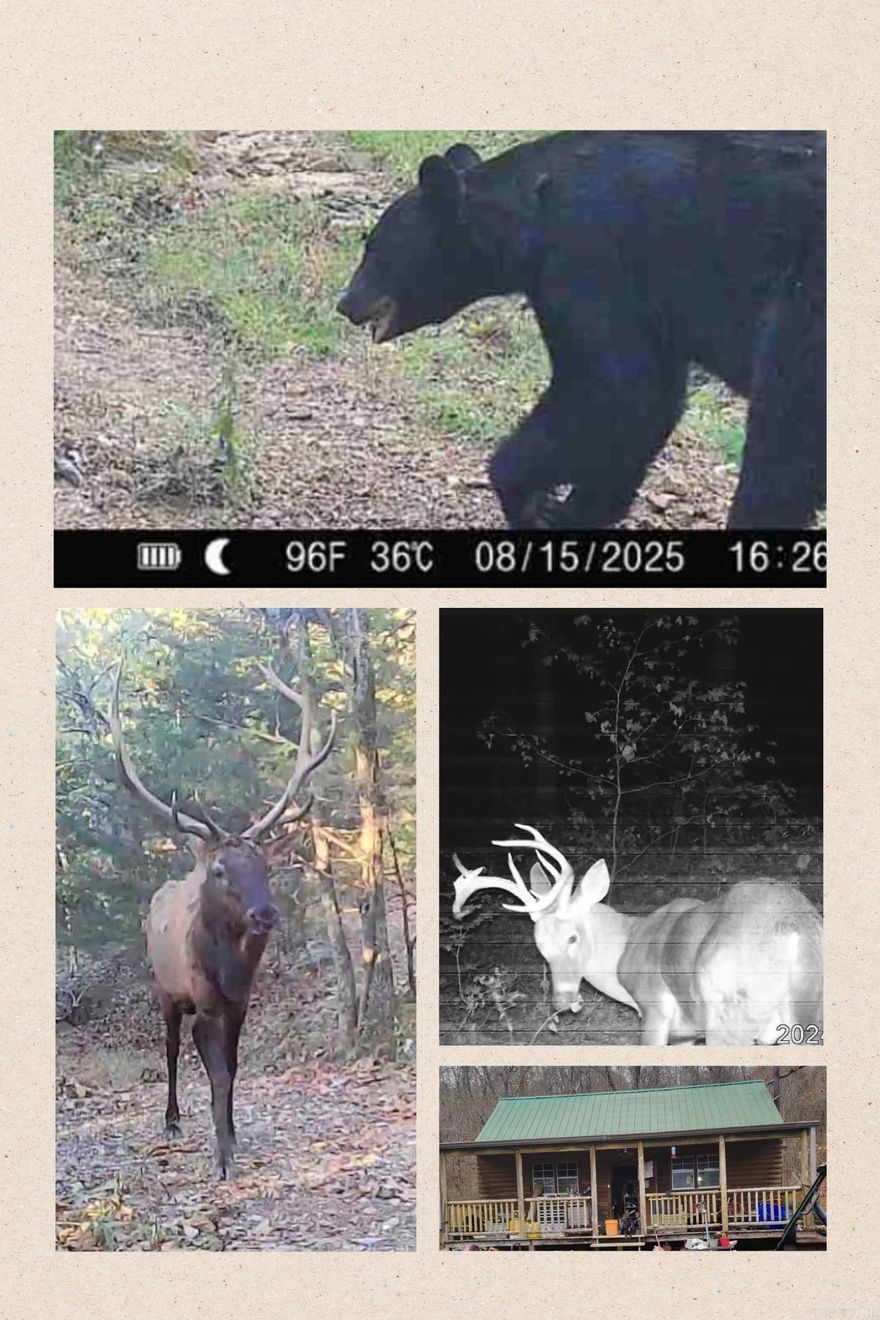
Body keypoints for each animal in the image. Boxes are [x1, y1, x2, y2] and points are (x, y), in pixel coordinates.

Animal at [108, 662, 336, 1178]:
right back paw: (172, 1120)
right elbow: (215, 1074)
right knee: (170, 1047)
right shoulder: (206, 1003)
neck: (231, 971)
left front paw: (231, 1135)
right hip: (164, 989)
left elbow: (232, 1069)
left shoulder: (240, 1004)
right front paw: (223, 1157)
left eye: (265, 866)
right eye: (220, 870)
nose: (264, 912)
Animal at [337, 132, 826, 530]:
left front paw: (529, 499)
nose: (345, 303)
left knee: (782, 427)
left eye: (373, 246)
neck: (532, 213)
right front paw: (578, 509)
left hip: (804, 305)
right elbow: (648, 402)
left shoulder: (586, 260)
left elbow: (613, 387)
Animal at [452, 824, 822, 1045]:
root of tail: (797, 930)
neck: (625, 945)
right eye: (540, 946)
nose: (562, 1001)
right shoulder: (686, 1035)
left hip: (728, 1012)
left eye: (573, 938)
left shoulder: (656, 1009)